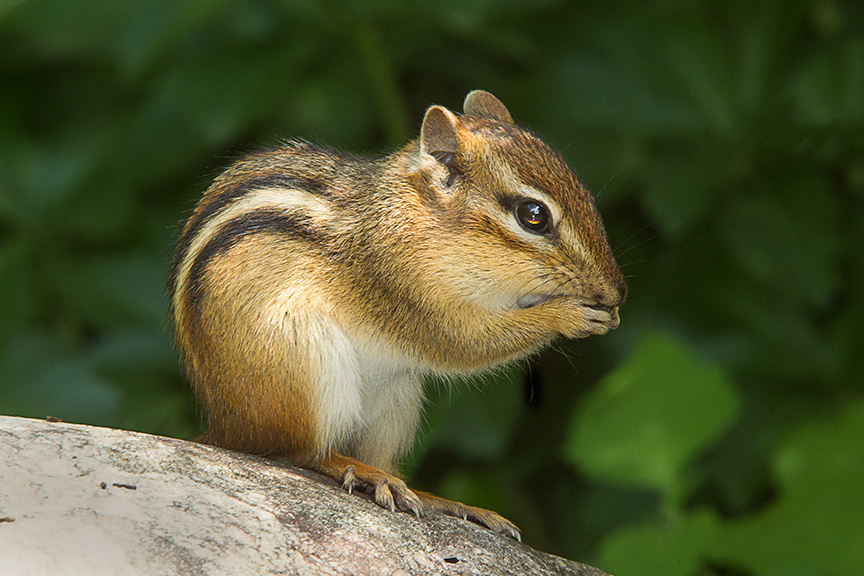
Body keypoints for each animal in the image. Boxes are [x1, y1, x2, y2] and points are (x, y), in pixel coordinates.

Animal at [168, 90, 626, 540]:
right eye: (533, 215)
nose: (617, 291)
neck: (425, 221)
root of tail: (227, 425)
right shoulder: (402, 285)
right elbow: (464, 344)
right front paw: (568, 315)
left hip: (397, 394)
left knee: (381, 456)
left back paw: (439, 499)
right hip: (304, 361)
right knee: (297, 451)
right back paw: (360, 472)